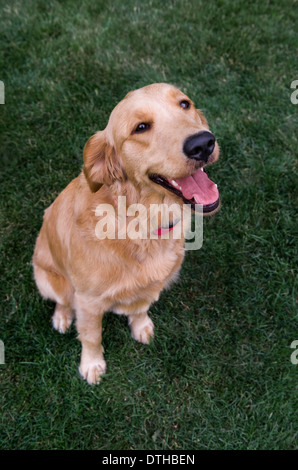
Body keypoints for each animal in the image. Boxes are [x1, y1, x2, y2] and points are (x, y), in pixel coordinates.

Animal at [33, 84, 219, 384]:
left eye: (185, 104)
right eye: (140, 127)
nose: (203, 144)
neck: (142, 224)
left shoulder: (152, 284)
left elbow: (141, 307)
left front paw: (141, 326)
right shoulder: (88, 301)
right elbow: (91, 336)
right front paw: (92, 365)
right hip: (46, 277)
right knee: (62, 300)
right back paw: (62, 318)